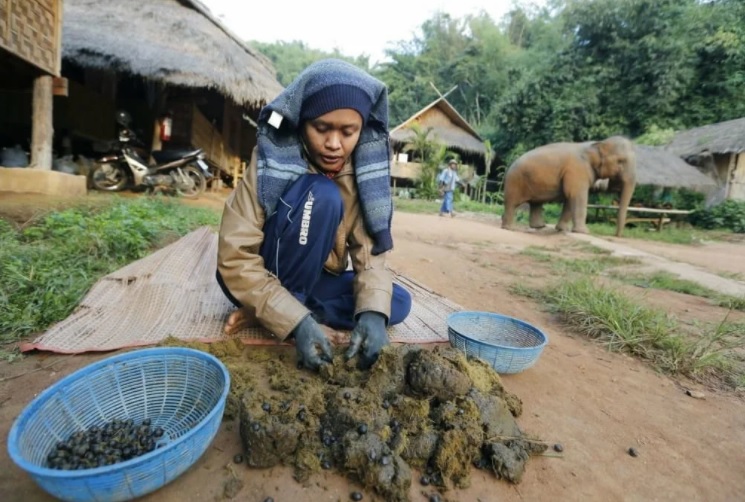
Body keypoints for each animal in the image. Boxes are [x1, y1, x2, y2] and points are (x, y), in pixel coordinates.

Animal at [500, 134, 632, 236]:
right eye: (620, 161)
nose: (615, 235)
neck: (595, 143)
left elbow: (571, 198)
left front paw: (562, 229)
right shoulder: (577, 170)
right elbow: (576, 195)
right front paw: (584, 232)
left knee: (536, 203)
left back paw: (539, 226)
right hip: (515, 182)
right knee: (512, 203)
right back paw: (510, 228)